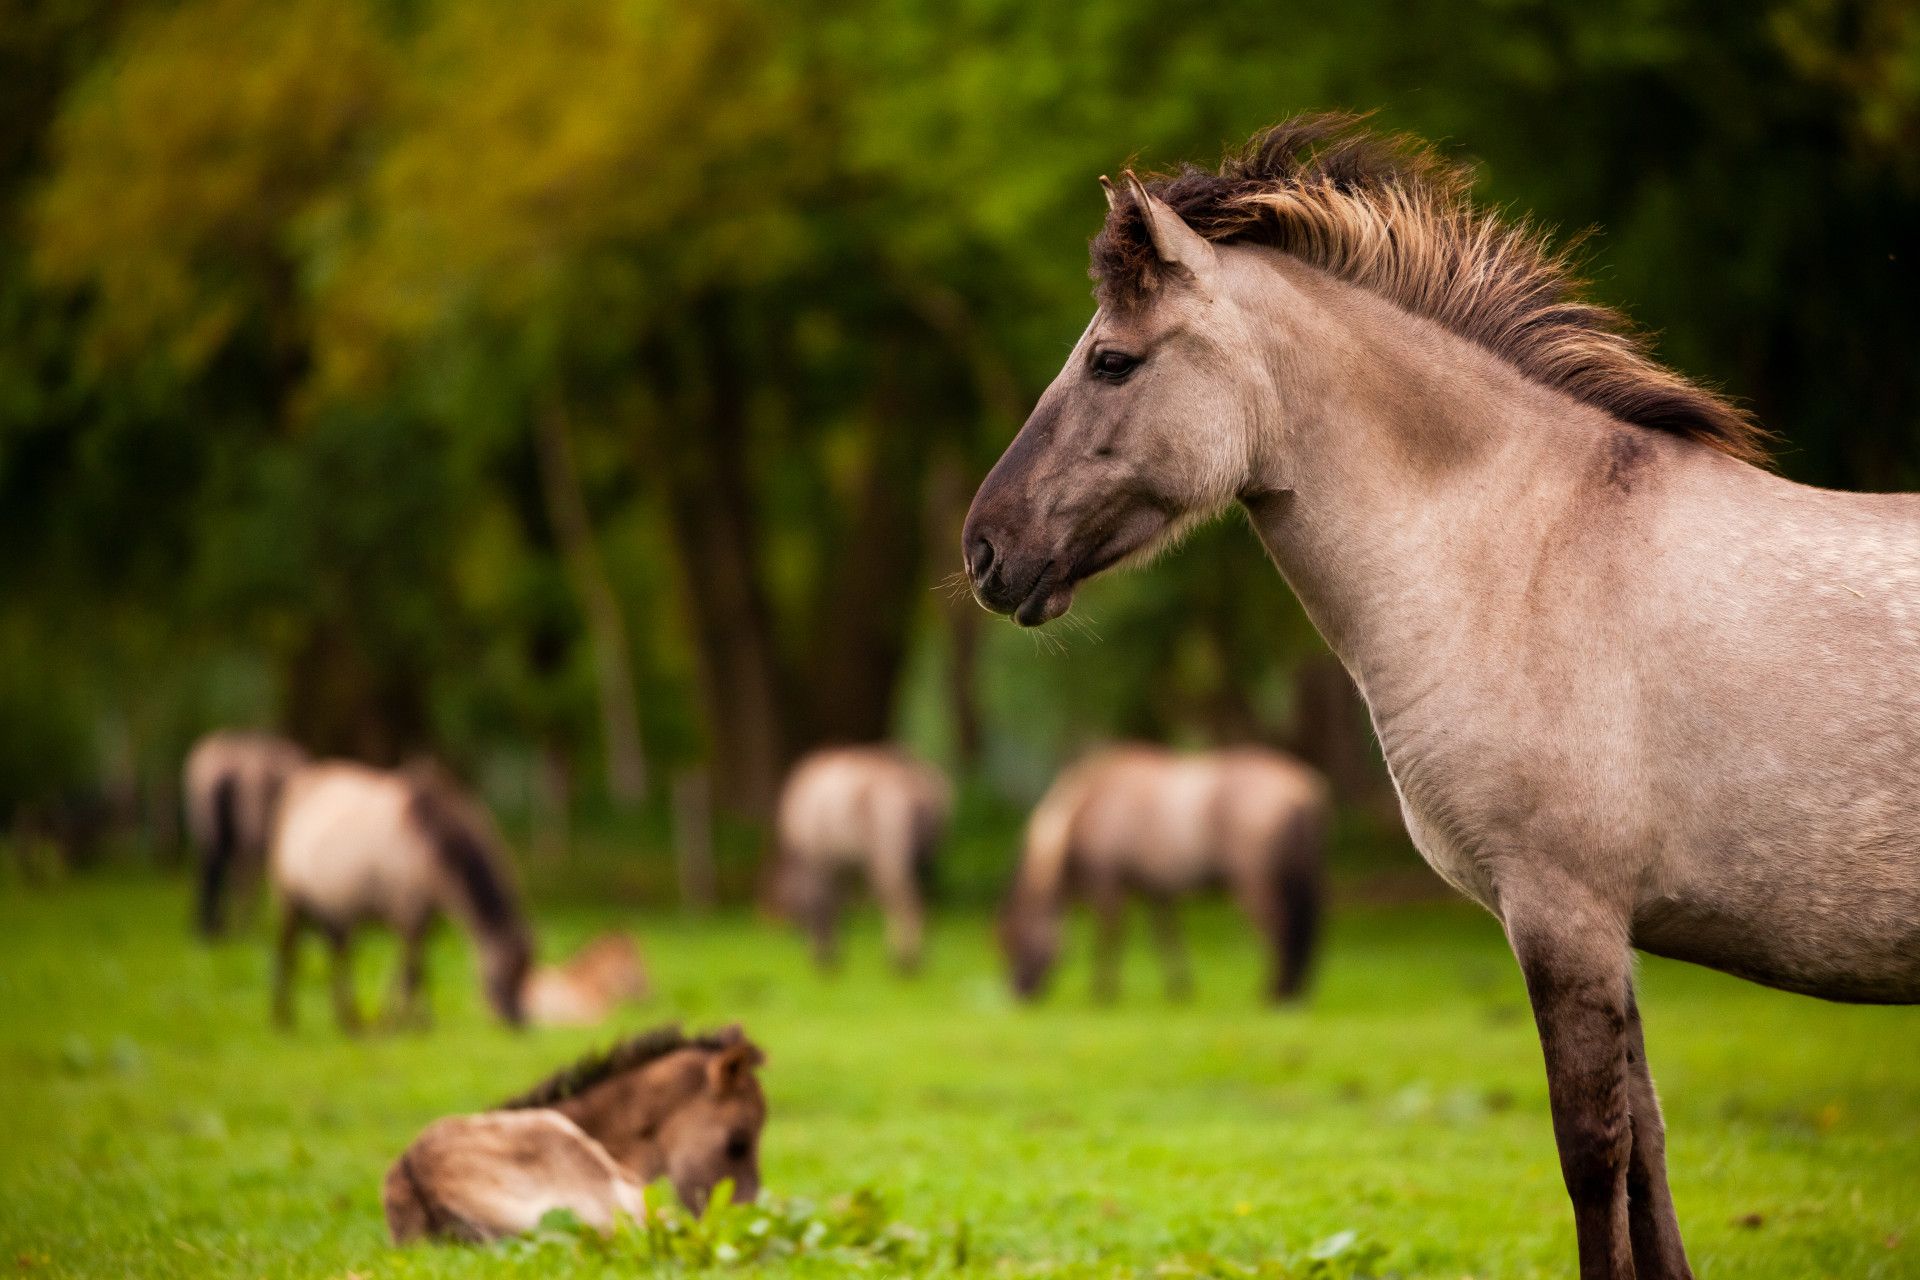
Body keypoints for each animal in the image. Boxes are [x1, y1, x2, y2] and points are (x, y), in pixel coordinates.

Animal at [268, 759, 533, 1028]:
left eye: (526, 973)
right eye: (507, 972)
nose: (517, 1019)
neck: (430, 842)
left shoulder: (423, 920)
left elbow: (412, 970)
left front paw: (400, 1016)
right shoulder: (409, 914)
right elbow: (413, 971)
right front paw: (409, 1020)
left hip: (334, 912)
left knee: (338, 957)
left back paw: (348, 1019)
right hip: (289, 901)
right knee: (288, 951)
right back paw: (284, 1016)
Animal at [771, 740, 952, 971]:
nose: (789, 926)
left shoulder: (818, 858)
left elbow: (823, 901)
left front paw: (824, 955)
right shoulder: (839, 864)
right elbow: (837, 904)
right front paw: (834, 953)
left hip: (888, 855)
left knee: (904, 901)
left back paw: (903, 960)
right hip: (925, 859)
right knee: (924, 902)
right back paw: (917, 957)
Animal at [998, 744, 1328, 1005]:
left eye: (1012, 939)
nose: (1017, 995)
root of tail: (1300, 792)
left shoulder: (1108, 883)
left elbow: (1109, 938)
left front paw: (1103, 993)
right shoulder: (1156, 889)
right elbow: (1166, 936)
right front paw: (1180, 989)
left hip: (1254, 881)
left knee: (1279, 930)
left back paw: (1273, 992)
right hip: (1301, 879)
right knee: (1302, 933)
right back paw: (1294, 992)